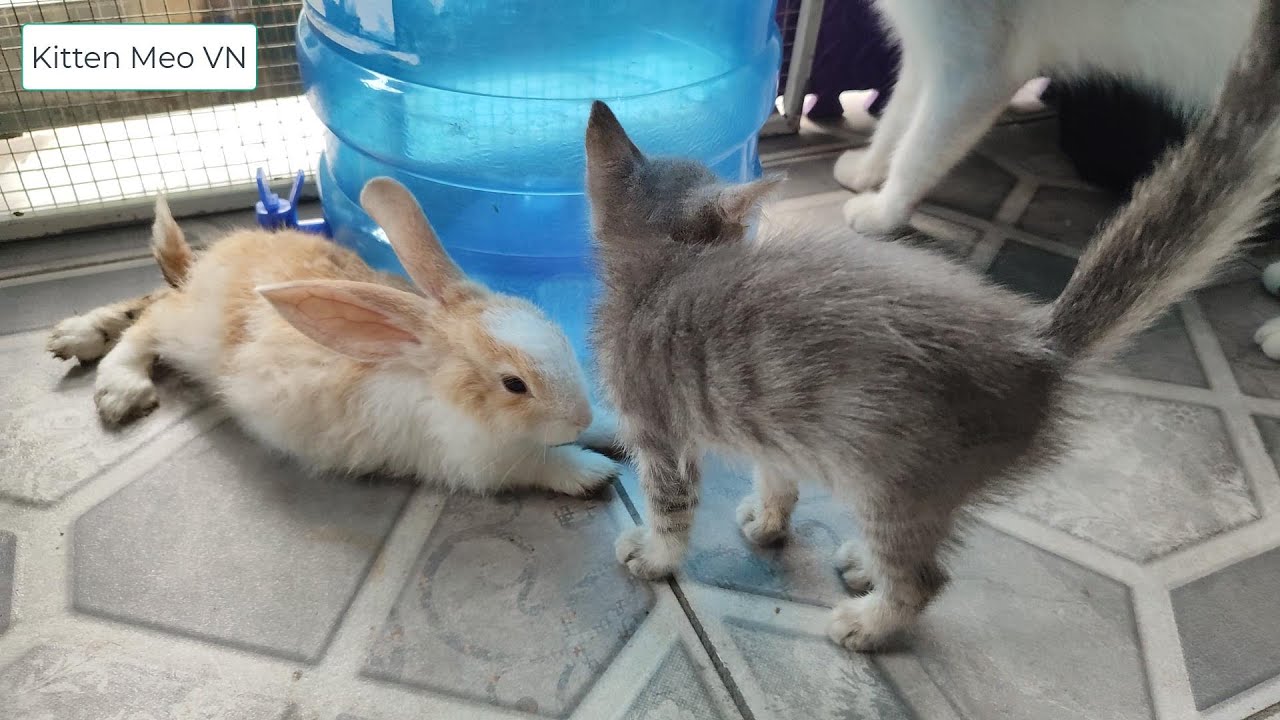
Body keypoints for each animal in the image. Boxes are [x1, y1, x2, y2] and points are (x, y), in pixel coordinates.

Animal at [47, 177, 619, 495]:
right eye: (513, 385)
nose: (577, 417)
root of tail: (203, 269)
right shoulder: (485, 464)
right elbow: (550, 465)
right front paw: (595, 473)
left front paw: (612, 430)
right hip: (187, 333)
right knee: (148, 323)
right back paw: (117, 385)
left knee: (148, 302)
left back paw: (80, 335)